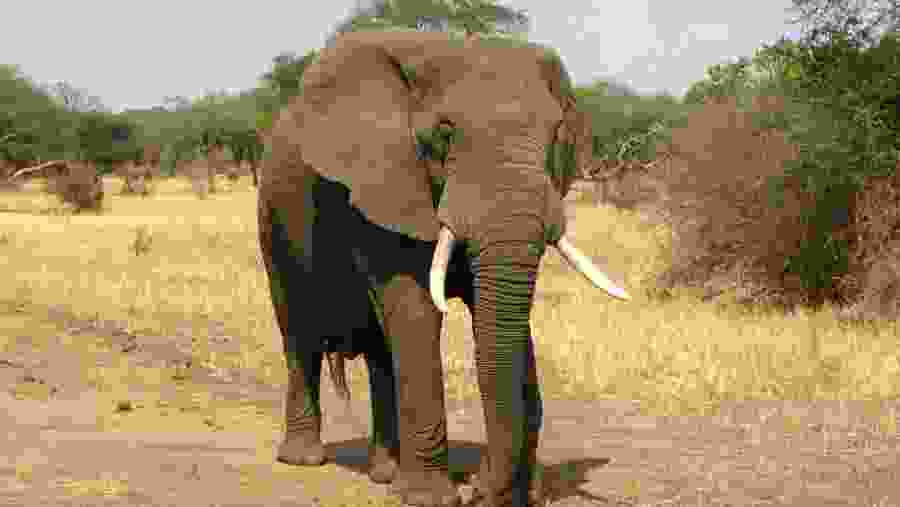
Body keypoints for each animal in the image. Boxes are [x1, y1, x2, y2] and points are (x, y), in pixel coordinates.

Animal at [257, 31, 630, 507]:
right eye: (445, 133)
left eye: (553, 135)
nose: (481, 492)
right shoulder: (386, 185)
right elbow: (416, 311)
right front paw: (430, 498)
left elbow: (499, 318)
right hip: (271, 217)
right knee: (297, 330)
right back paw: (304, 459)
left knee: (380, 351)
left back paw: (385, 473)